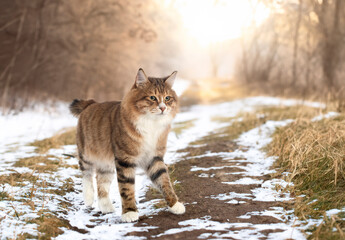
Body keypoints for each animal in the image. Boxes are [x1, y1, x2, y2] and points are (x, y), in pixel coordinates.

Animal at [69, 68, 185, 222]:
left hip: (106, 164)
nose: (163, 108)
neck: (150, 124)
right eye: (152, 98)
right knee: (86, 174)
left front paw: (175, 204)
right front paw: (129, 212)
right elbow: (126, 188)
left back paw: (106, 207)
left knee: (101, 183)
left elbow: (164, 181)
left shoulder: (154, 157)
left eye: (167, 98)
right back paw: (88, 197)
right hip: (87, 154)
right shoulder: (125, 159)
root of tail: (91, 103)